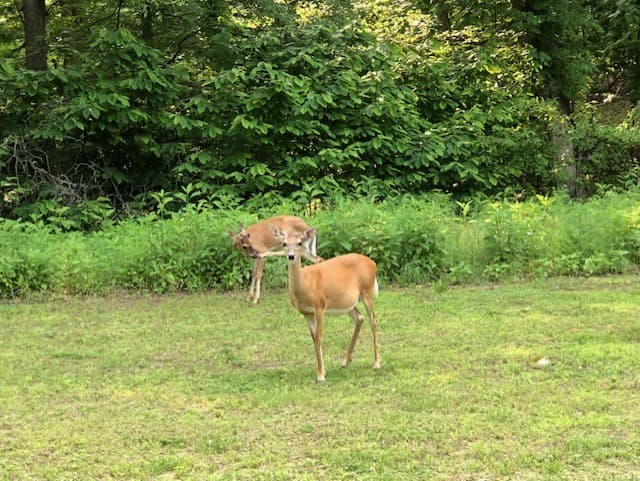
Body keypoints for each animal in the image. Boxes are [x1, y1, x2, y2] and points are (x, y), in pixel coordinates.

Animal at [270, 225, 380, 382]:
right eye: (284, 243)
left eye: (299, 243)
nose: (291, 256)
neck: (304, 286)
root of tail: (373, 263)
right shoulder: (306, 312)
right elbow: (314, 339)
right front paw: (320, 371)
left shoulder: (319, 306)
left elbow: (319, 337)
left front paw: (321, 375)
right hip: (348, 303)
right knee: (359, 318)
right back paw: (345, 361)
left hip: (367, 291)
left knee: (373, 320)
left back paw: (376, 363)